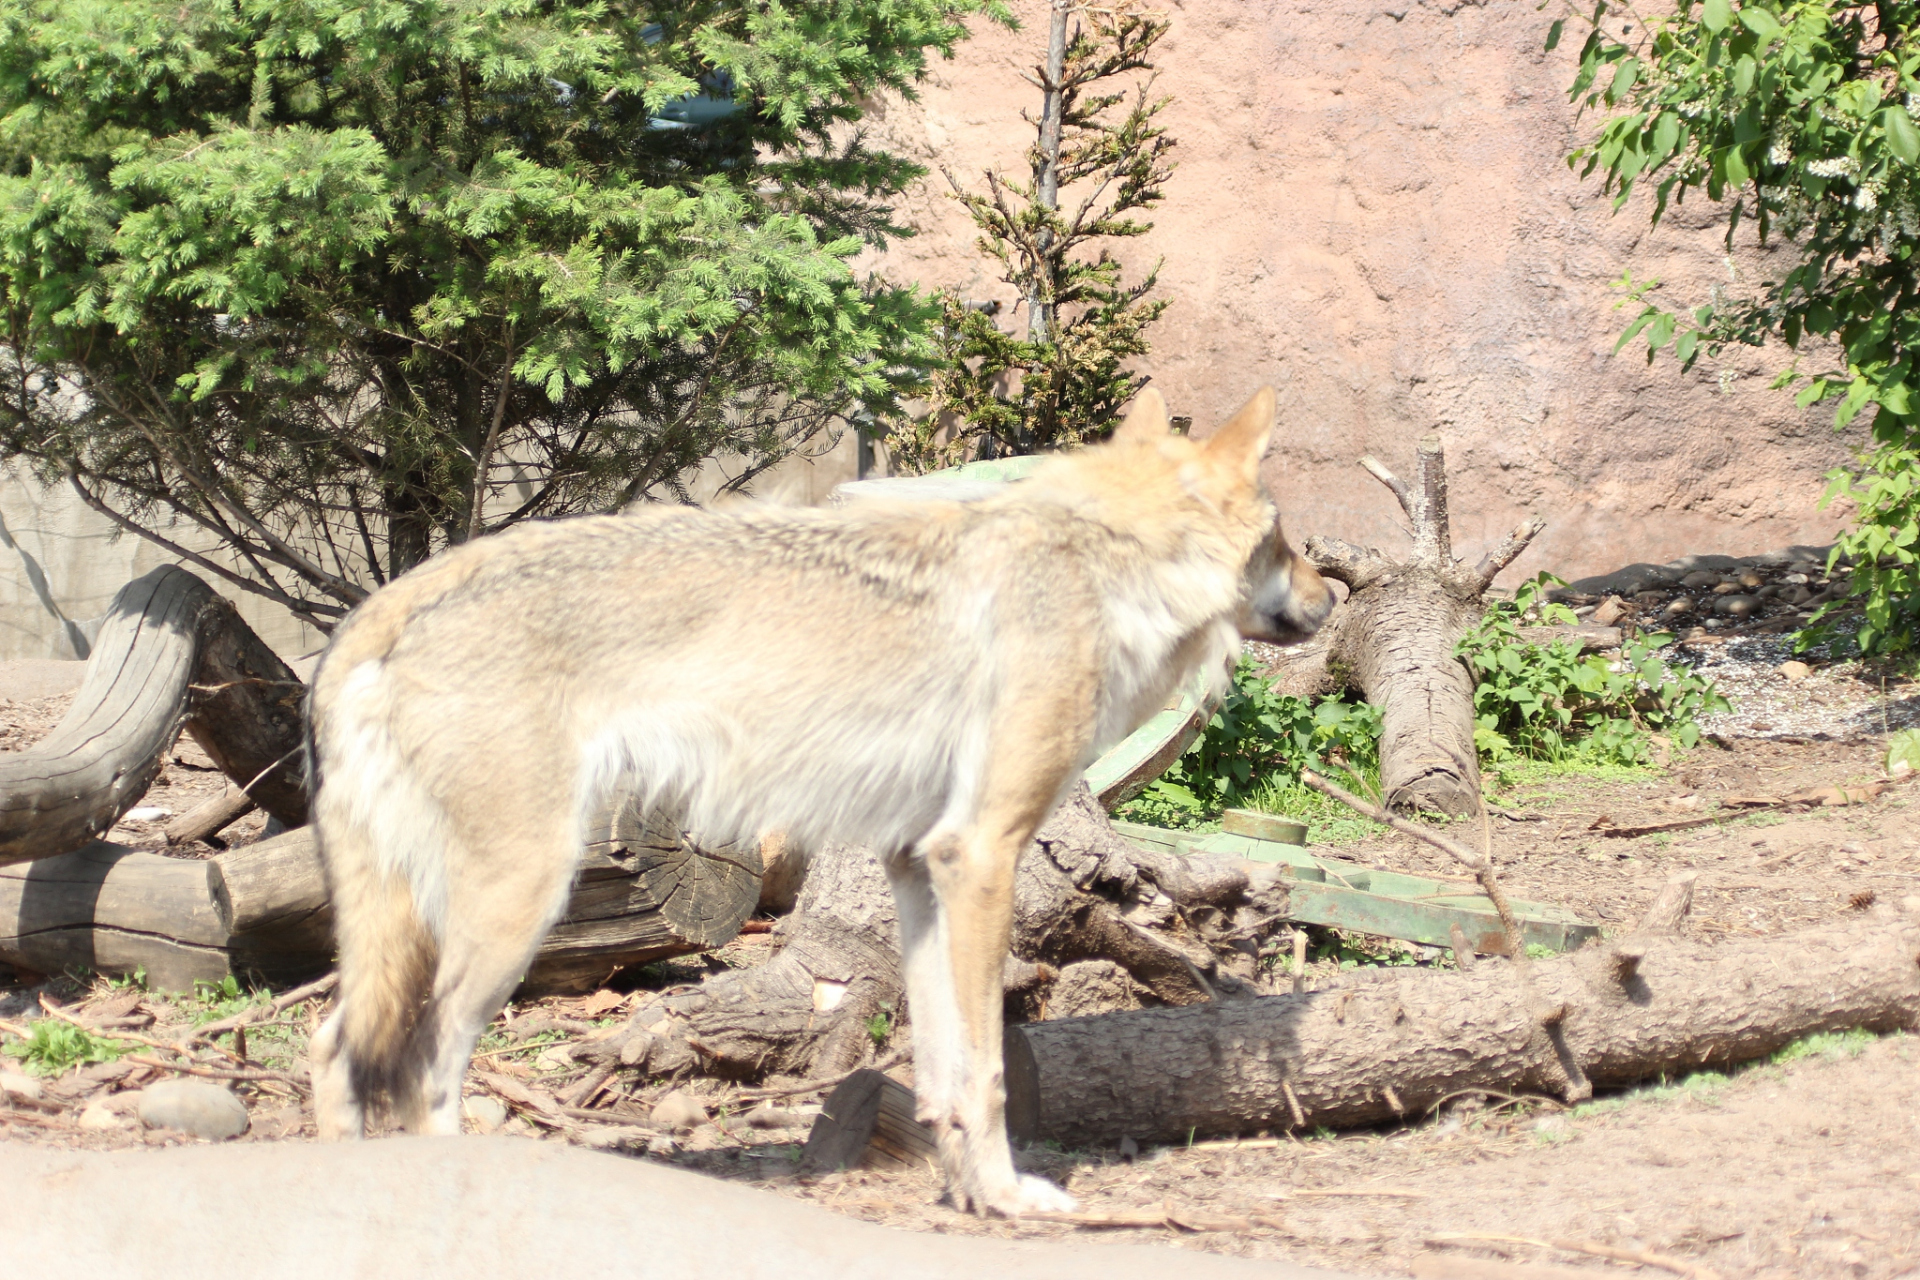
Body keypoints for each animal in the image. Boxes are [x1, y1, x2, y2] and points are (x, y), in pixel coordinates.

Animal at [311, 385, 1336, 1220]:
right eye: (1286, 538)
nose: (1330, 598)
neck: (1105, 566)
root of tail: (386, 603)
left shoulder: (917, 866)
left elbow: (944, 1068)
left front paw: (961, 1192)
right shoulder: (982, 854)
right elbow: (991, 1071)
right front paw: (1009, 1198)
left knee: (333, 1054)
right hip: (520, 902)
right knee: (423, 1068)